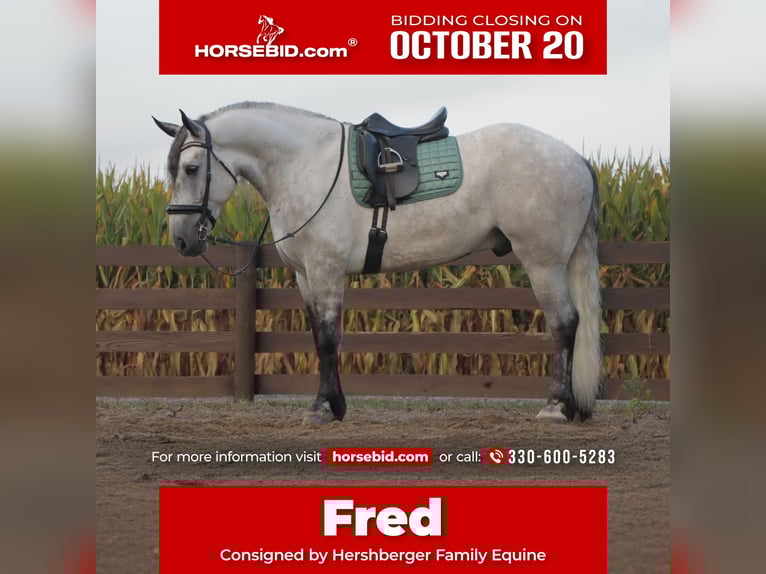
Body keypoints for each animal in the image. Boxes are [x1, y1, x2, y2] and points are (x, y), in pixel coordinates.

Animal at [152, 102, 602, 425]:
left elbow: (328, 338)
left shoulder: (326, 270)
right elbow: (320, 337)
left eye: (191, 168)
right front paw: (335, 405)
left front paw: (321, 408)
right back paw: (574, 407)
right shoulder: (305, 275)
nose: (182, 239)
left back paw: (556, 407)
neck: (306, 165)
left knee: (564, 324)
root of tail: (574, 158)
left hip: (543, 263)